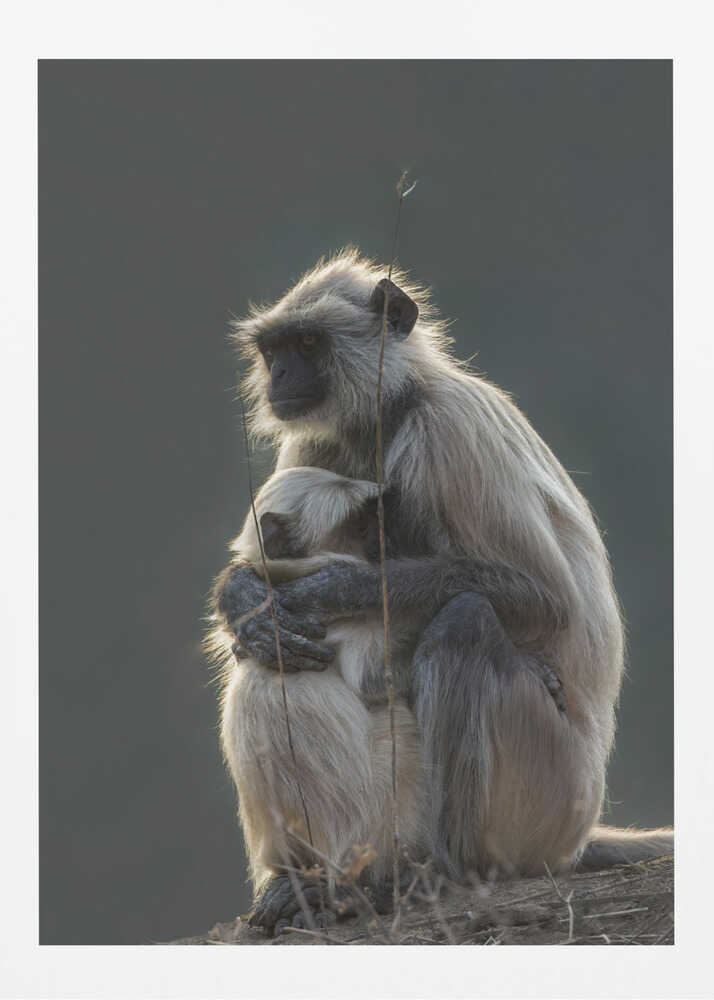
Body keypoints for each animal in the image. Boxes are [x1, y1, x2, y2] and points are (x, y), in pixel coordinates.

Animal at [214, 249, 673, 933]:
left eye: (308, 343)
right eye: (275, 350)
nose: (282, 375)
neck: (392, 408)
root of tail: (578, 829)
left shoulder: (448, 429)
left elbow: (545, 599)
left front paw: (328, 590)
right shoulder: (316, 440)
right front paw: (247, 603)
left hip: (549, 793)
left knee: (468, 620)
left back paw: (444, 871)